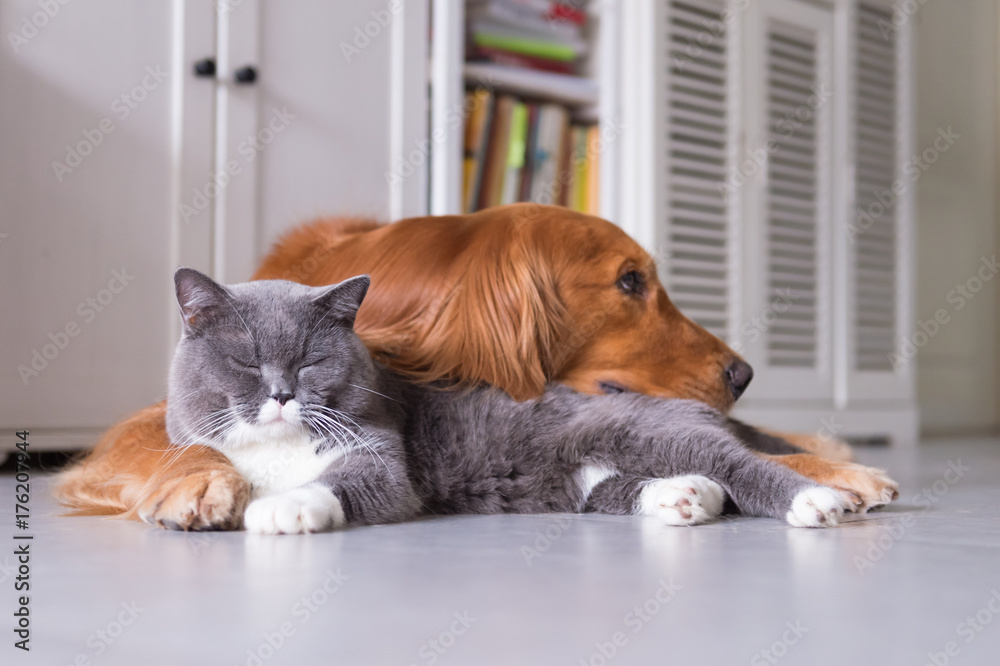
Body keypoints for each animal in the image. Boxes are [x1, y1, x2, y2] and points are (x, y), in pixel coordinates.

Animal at [164, 268, 868, 532]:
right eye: (246, 362)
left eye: (311, 360)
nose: (282, 394)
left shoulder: (381, 454)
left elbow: (350, 482)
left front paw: (283, 510)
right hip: (581, 472)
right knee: (618, 485)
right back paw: (686, 497)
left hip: (643, 430)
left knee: (740, 464)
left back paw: (816, 501)